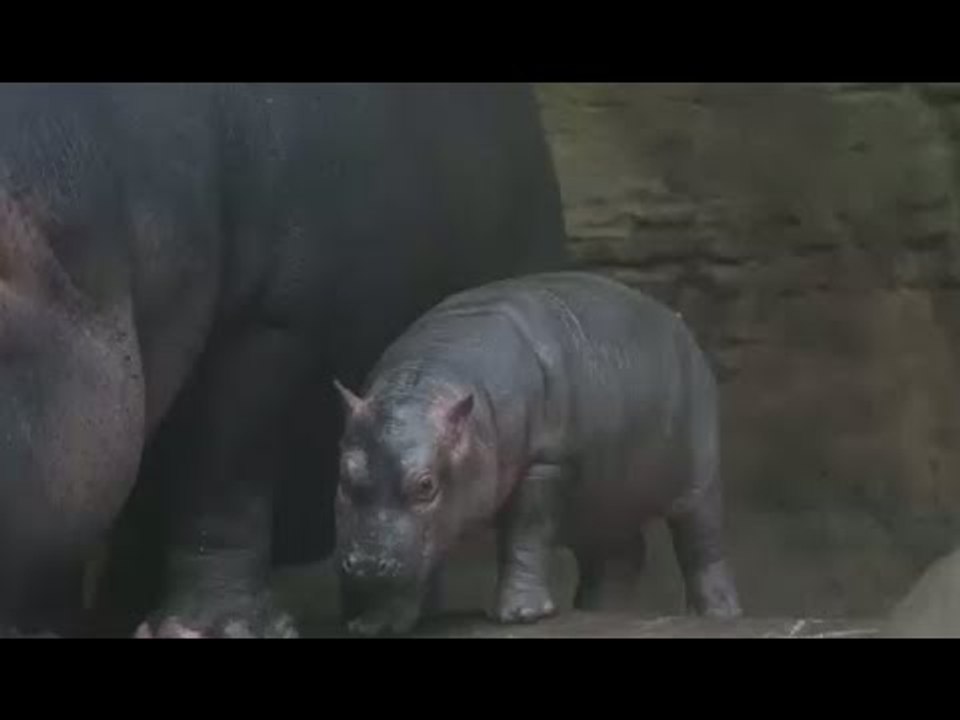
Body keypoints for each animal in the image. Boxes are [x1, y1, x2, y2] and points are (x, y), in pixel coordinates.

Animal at [333, 271, 741, 635]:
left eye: (426, 484)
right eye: (345, 475)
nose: (367, 563)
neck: (428, 385)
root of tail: (679, 324)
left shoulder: (546, 464)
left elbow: (526, 533)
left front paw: (521, 615)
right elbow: (412, 565)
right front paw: (374, 625)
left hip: (698, 472)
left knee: (702, 540)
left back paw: (720, 615)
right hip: (602, 501)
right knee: (620, 554)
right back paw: (598, 612)